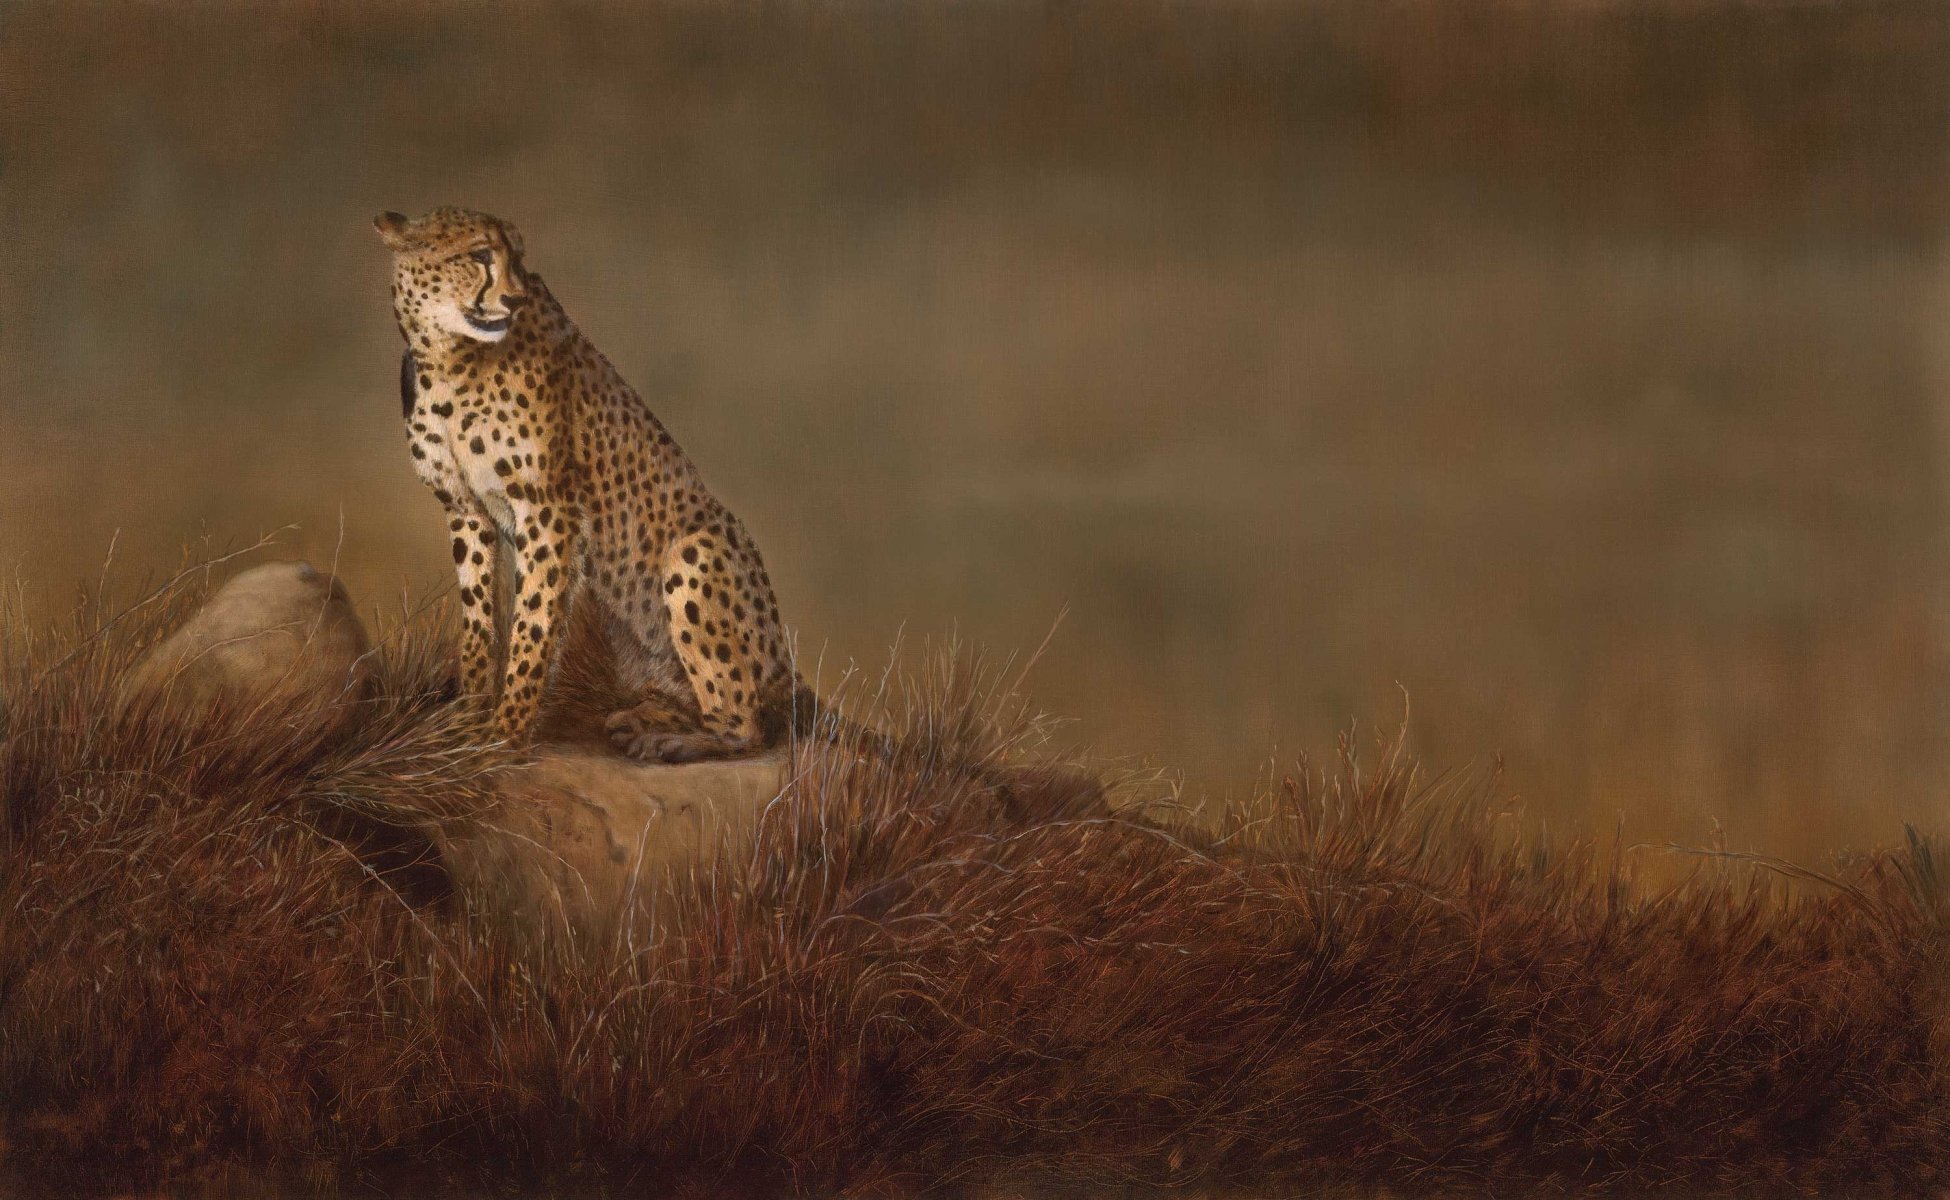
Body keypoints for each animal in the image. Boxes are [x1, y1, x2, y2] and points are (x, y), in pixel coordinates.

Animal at [374, 205, 803, 763]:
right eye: (480, 254)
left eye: (517, 257)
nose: (514, 298)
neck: (450, 358)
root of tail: (785, 671)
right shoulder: (465, 509)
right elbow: (479, 619)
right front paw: (467, 716)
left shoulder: (548, 511)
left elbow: (532, 625)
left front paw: (504, 732)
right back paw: (641, 716)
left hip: (695, 553)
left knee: (745, 726)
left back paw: (669, 741)